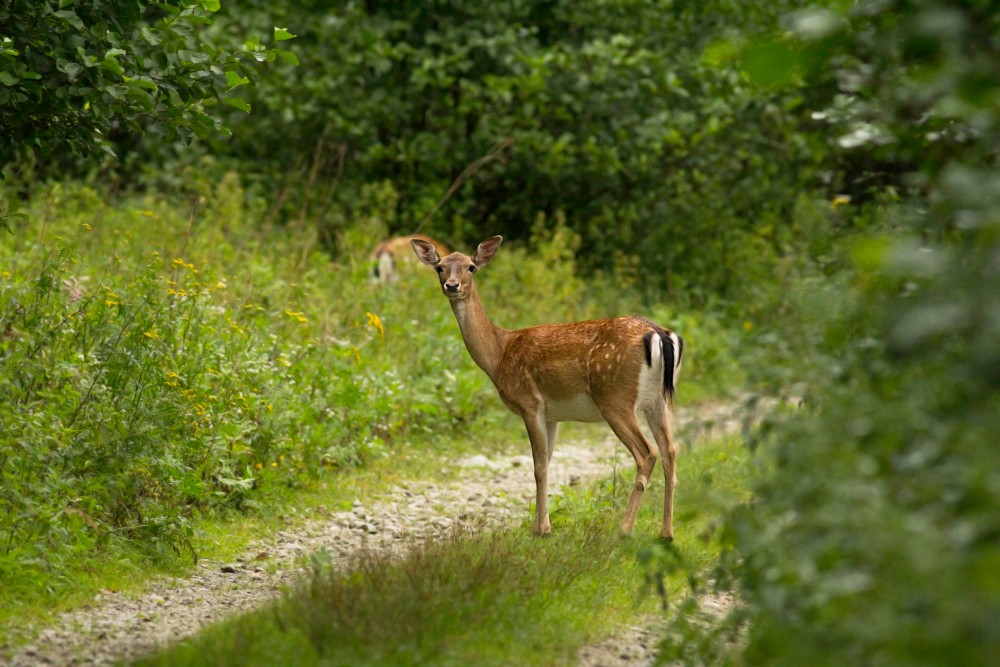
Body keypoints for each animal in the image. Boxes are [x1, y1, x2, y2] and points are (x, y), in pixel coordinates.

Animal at [410, 235, 684, 536]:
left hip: (615, 397)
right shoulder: (553, 415)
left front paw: (542, 529)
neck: (499, 354)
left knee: (647, 453)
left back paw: (624, 530)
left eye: (471, 267)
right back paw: (666, 534)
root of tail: (659, 335)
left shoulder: (529, 403)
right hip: (658, 401)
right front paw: (539, 523)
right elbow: (548, 461)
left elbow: (538, 466)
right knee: (670, 451)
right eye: (440, 267)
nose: (452, 285)